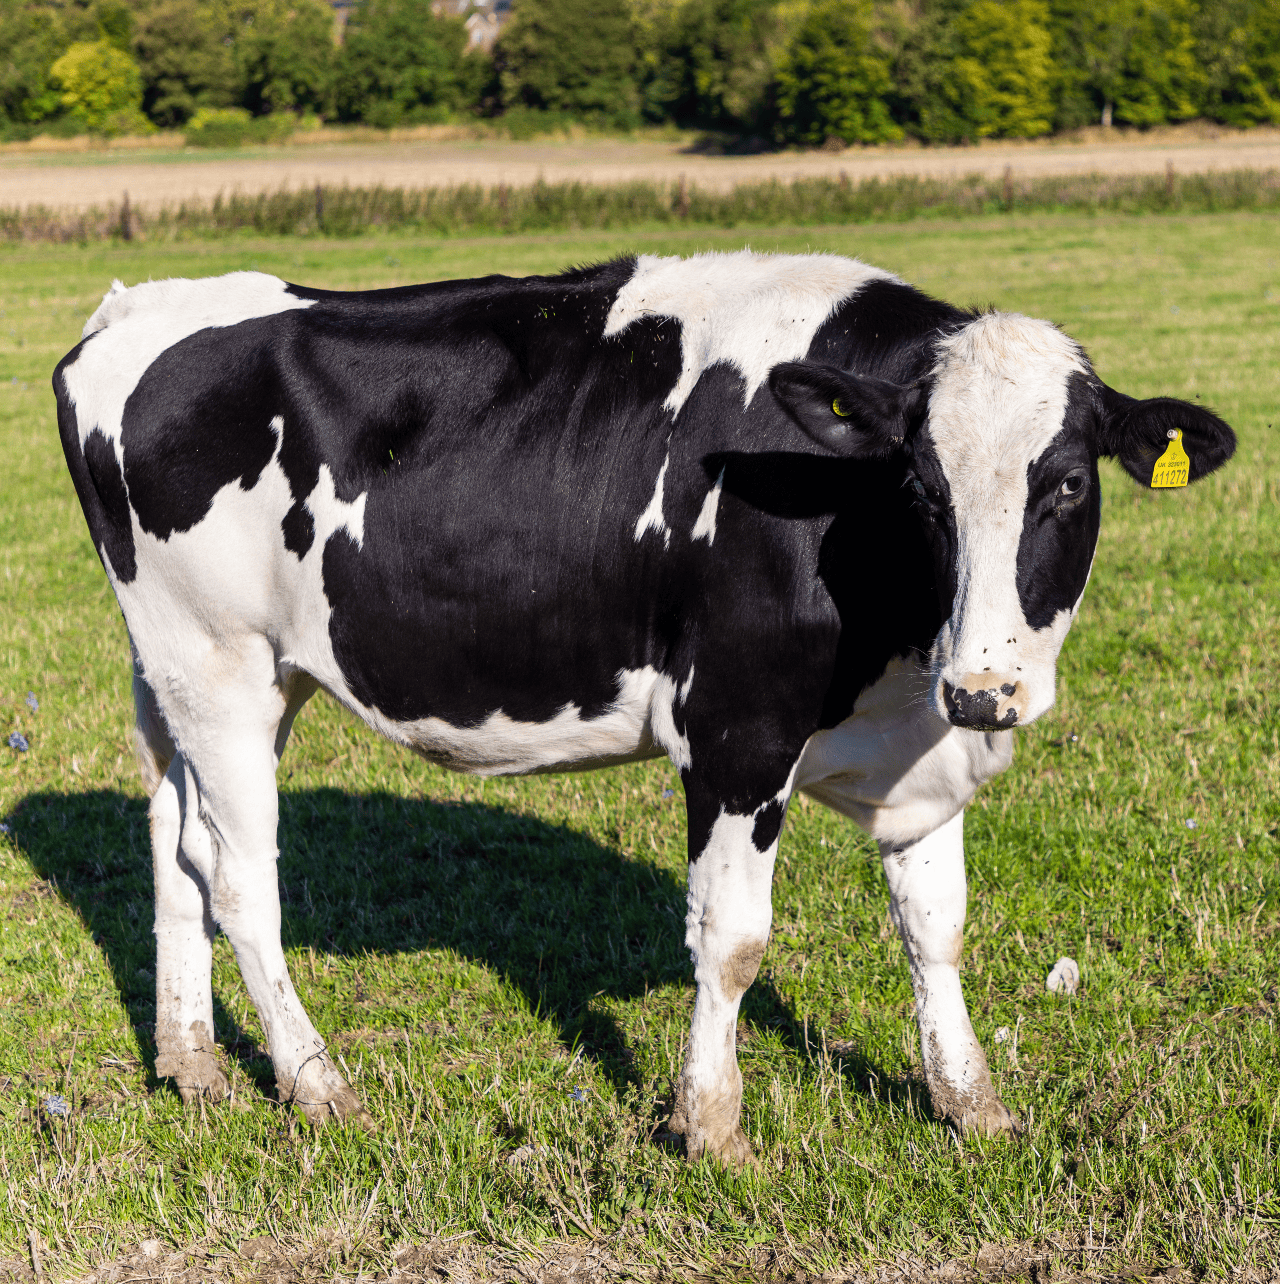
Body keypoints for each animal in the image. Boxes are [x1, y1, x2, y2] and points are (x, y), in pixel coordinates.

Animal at [54, 251, 1235, 1165]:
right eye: (921, 489)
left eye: (1070, 483)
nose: (987, 687)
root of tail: (135, 306)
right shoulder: (734, 730)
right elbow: (733, 939)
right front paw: (709, 1129)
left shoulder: (921, 746)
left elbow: (935, 928)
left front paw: (971, 1105)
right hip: (215, 665)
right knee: (240, 876)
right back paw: (315, 1081)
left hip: (205, 675)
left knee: (173, 838)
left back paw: (193, 1062)